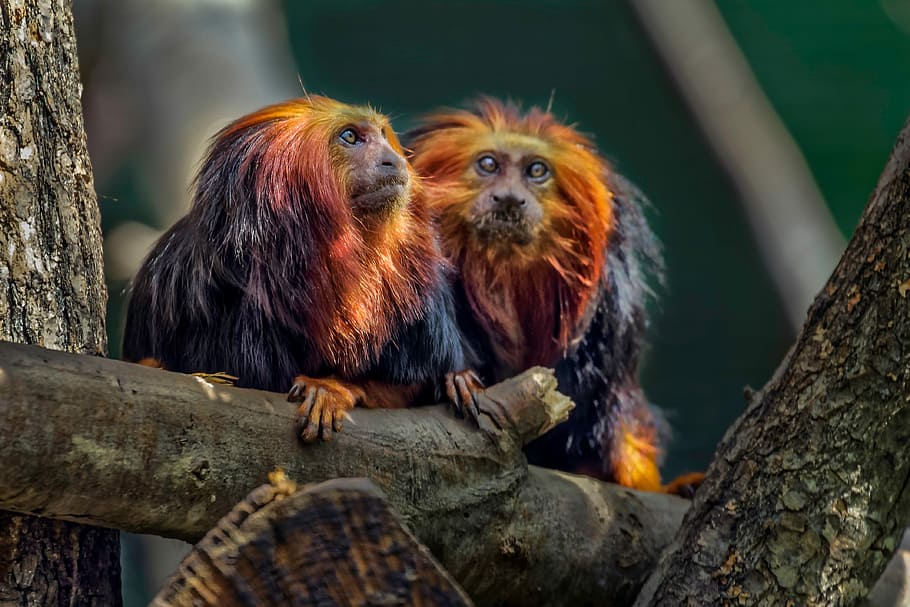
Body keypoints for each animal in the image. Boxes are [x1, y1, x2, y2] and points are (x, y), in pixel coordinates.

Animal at [122, 95, 482, 442]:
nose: (392, 160)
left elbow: (413, 383)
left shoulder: (422, 297)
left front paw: (332, 387)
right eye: (350, 137)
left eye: (382, 136)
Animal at [406, 98, 702, 494]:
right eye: (488, 164)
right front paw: (455, 378)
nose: (510, 200)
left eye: (536, 170)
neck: (502, 282)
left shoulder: (606, 330)